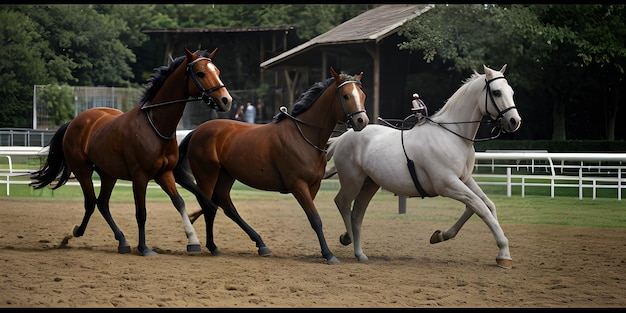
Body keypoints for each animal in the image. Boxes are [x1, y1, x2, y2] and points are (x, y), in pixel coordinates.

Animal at [29, 47, 232, 256]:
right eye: (201, 73)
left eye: (217, 71)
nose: (226, 100)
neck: (155, 126)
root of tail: (75, 121)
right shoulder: (140, 176)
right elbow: (141, 213)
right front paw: (144, 247)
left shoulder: (164, 173)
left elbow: (179, 202)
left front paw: (193, 240)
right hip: (83, 171)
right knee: (91, 203)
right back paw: (76, 232)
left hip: (108, 174)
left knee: (102, 204)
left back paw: (122, 241)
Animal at [173, 67, 368, 262]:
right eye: (346, 96)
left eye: (362, 95)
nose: (362, 121)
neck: (304, 136)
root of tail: (197, 131)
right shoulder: (298, 184)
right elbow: (315, 218)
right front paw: (328, 254)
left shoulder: (313, 186)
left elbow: (313, 217)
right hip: (207, 174)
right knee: (209, 206)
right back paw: (212, 245)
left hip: (226, 175)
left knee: (225, 205)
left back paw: (260, 243)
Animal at [324, 64, 520, 266]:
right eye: (496, 92)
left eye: (511, 92)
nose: (515, 121)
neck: (452, 135)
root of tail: (344, 137)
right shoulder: (448, 185)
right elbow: (480, 207)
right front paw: (504, 252)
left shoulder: (465, 180)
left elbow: (484, 205)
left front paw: (440, 235)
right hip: (353, 181)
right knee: (343, 203)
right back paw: (351, 242)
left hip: (370, 183)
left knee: (357, 213)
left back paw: (357, 249)